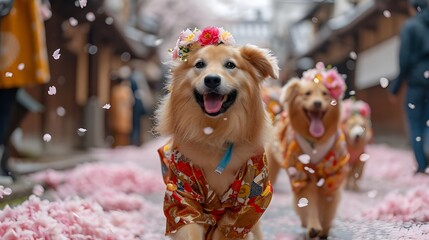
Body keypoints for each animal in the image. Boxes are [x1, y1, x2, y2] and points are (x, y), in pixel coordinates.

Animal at [154, 26, 278, 240]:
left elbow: (230, 228)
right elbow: (187, 223)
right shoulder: (182, 194)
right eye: (199, 64)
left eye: (230, 65)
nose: (212, 79)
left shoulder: (248, 203)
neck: (216, 135)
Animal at [268, 62, 348, 239]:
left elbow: (328, 206)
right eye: (307, 94)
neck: (315, 143)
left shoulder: (332, 175)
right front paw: (313, 227)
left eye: (325, 94)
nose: (317, 103)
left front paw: (325, 228)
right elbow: (309, 203)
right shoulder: (302, 174)